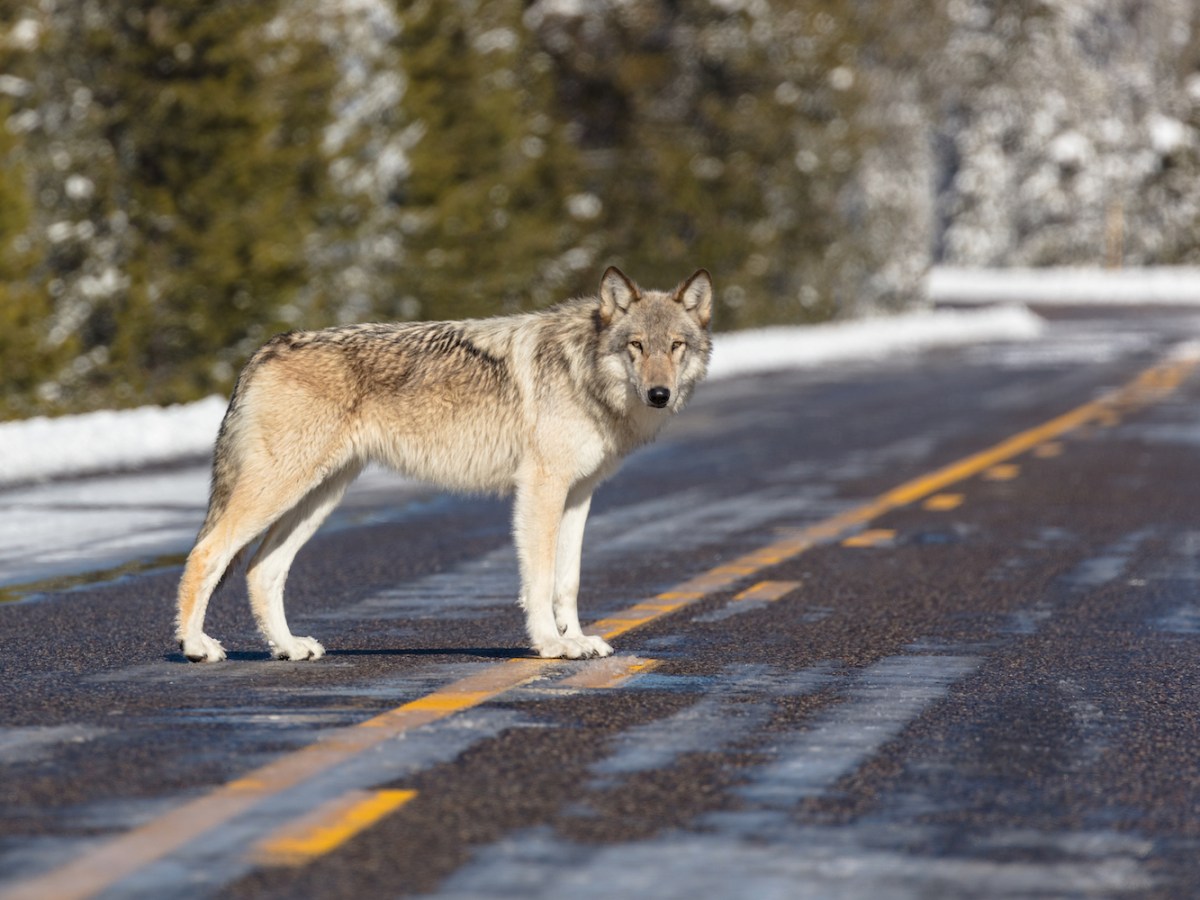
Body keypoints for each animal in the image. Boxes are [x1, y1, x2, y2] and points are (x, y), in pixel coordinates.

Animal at [176, 266, 713, 662]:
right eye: (636, 345)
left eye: (676, 346)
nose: (659, 394)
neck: (584, 372)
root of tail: (266, 348)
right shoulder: (541, 488)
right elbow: (539, 580)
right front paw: (551, 645)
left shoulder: (579, 494)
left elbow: (568, 580)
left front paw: (577, 639)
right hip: (281, 491)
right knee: (206, 552)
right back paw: (196, 646)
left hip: (318, 498)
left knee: (261, 569)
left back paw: (288, 647)